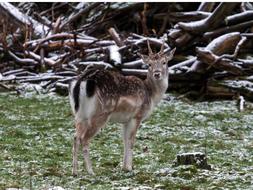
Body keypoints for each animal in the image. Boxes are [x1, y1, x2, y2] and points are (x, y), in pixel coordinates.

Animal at [69, 40, 176, 176]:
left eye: (164, 62)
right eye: (149, 64)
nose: (157, 74)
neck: (151, 95)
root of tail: (82, 81)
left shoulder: (125, 120)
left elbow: (124, 140)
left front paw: (124, 167)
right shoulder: (137, 116)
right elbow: (131, 141)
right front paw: (129, 168)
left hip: (79, 114)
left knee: (75, 137)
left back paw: (75, 171)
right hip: (100, 113)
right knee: (84, 138)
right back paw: (90, 171)